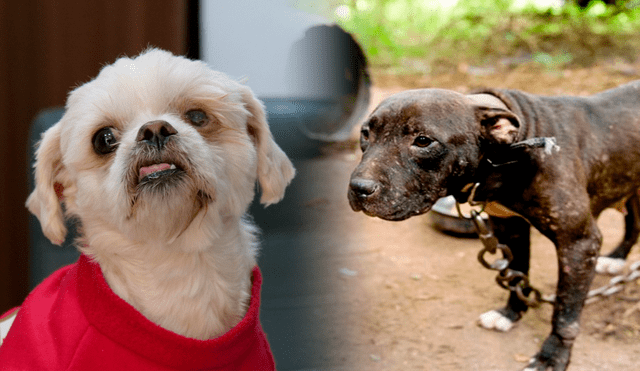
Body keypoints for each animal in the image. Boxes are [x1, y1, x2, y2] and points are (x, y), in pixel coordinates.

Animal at [348, 82, 640, 371]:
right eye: (366, 133)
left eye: (423, 141)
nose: (359, 188)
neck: (510, 155)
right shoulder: (510, 228)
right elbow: (516, 274)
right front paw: (509, 315)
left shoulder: (578, 243)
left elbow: (565, 312)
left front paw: (551, 358)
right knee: (634, 225)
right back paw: (617, 257)